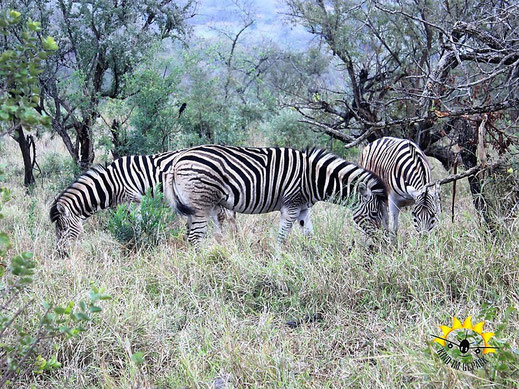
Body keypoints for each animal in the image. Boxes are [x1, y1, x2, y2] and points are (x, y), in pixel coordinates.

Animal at [49, 150, 237, 253]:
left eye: (63, 229)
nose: (61, 254)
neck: (111, 184)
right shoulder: (134, 201)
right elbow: (137, 222)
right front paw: (138, 240)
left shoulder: (132, 199)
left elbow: (136, 223)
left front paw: (138, 242)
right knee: (226, 215)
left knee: (226, 215)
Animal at [165, 144, 388, 247]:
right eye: (375, 214)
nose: (382, 244)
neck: (314, 178)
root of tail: (177, 160)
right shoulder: (291, 204)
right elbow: (282, 236)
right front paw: (277, 260)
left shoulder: (303, 208)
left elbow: (309, 234)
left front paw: (316, 256)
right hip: (200, 204)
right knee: (195, 238)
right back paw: (201, 264)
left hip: (199, 206)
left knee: (197, 235)